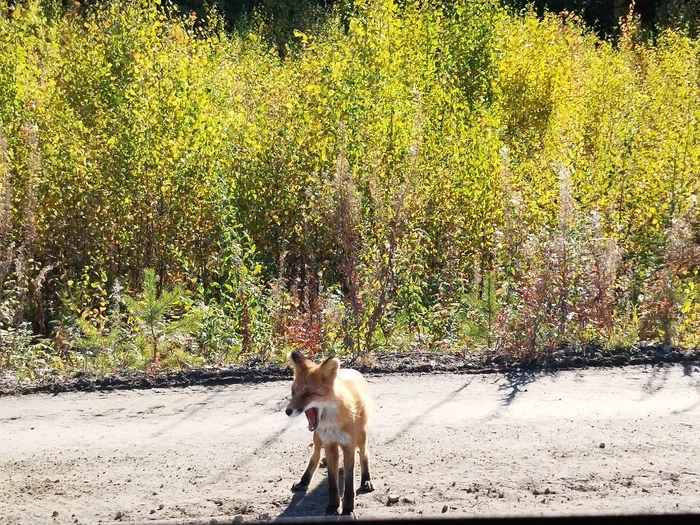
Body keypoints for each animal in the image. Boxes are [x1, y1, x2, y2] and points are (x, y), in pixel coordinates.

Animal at [284, 350, 374, 512]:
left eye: (308, 394)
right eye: (293, 392)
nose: (288, 411)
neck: (334, 425)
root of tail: (351, 370)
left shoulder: (348, 446)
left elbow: (349, 483)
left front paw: (348, 509)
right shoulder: (330, 444)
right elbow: (332, 483)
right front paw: (333, 506)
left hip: (361, 437)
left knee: (364, 454)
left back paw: (366, 480)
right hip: (317, 437)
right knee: (315, 456)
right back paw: (304, 481)